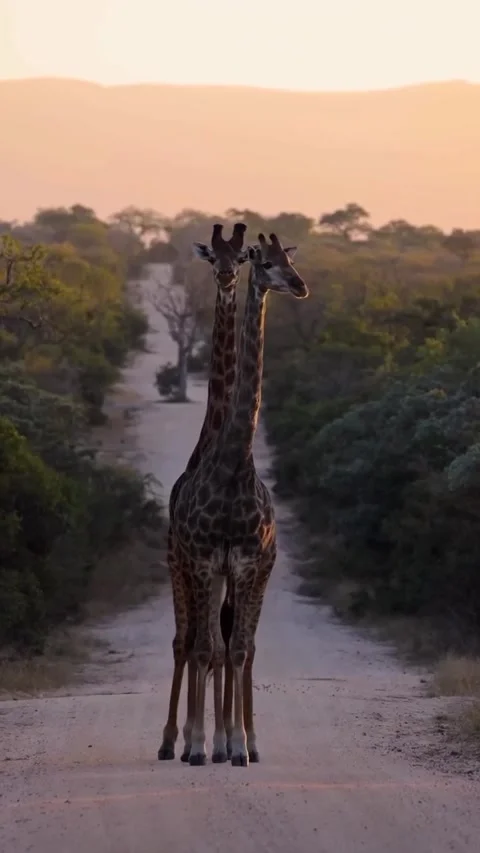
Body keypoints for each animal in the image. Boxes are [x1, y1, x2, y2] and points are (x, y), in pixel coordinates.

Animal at [171, 232, 309, 766]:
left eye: (289, 260)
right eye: (266, 262)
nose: (300, 285)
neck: (232, 464)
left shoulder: (248, 563)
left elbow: (237, 649)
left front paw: (236, 743)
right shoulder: (206, 561)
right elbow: (207, 649)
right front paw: (199, 745)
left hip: (244, 572)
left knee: (237, 647)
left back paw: (243, 741)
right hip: (183, 566)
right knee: (190, 642)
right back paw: (178, 743)